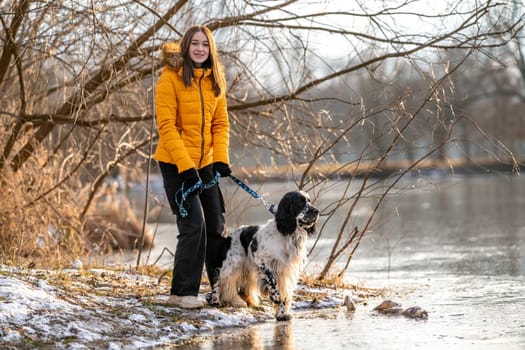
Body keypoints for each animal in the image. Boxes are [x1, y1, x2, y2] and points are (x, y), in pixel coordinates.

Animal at [210, 191, 320, 320]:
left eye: (309, 201)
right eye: (300, 202)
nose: (317, 211)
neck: (287, 234)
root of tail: (230, 236)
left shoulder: (287, 270)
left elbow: (285, 294)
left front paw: (283, 311)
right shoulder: (266, 265)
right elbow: (276, 291)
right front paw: (282, 313)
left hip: (248, 269)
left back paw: (253, 305)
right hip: (231, 265)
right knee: (219, 281)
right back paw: (216, 301)